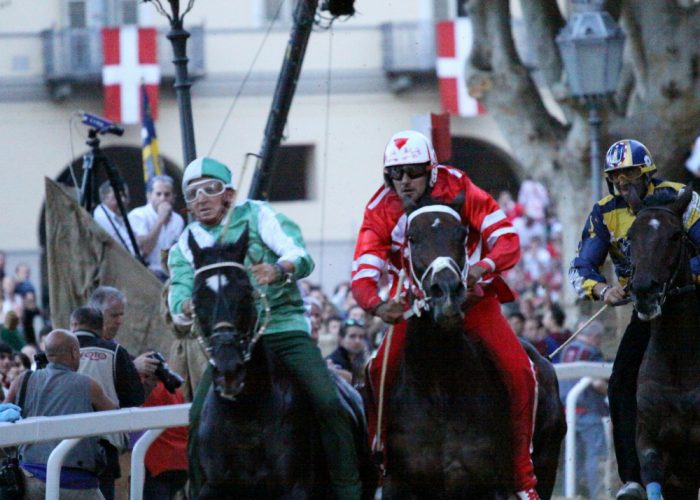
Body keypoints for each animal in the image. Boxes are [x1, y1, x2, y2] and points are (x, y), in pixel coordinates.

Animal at [189, 229, 378, 498]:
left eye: (246, 293)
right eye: (197, 298)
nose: (229, 370)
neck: (246, 413)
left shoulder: (294, 489)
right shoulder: (213, 487)